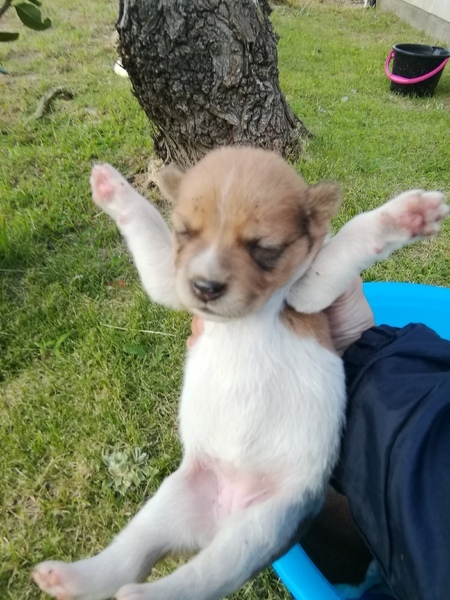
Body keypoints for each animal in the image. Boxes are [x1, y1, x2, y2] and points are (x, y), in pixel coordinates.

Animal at [33, 146, 448, 600]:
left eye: (263, 248)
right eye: (184, 233)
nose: (205, 287)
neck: (244, 319)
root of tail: (219, 520)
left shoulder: (310, 293)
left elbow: (351, 237)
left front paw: (407, 215)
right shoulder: (169, 278)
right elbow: (147, 226)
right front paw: (114, 190)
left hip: (256, 531)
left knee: (197, 579)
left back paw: (138, 594)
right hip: (170, 506)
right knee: (131, 555)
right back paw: (72, 578)